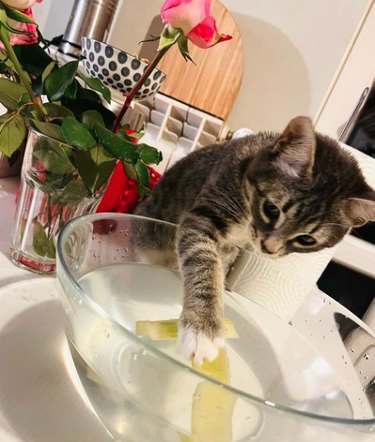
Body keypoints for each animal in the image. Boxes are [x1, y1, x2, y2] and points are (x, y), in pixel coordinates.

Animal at [136, 115, 375, 364]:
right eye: (271, 209)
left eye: (306, 239)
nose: (269, 248)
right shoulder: (203, 216)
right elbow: (204, 262)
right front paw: (202, 328)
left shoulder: (231, 248)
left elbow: (219, 268)